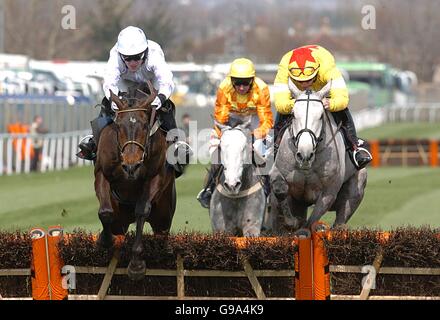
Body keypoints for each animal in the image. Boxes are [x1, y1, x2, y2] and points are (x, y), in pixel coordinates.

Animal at [94, 80, 175, 280]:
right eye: (119, 126)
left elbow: (141, 211)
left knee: (162, 232)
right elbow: (105, 212)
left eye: (145, 126)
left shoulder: (155, 177)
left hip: (164, 215)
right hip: (121, 219)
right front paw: (104, 241)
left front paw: (136, 264)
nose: (132, 165)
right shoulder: (101, 172)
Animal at [268, 78, 368, 231]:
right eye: (293, 114)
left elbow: (311, 223)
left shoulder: (328, 193)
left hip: (355, 190)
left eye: (321, 116)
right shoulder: (278, 175)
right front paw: (292, 222)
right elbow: (280, 190)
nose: (305, 154)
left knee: (340, 221)